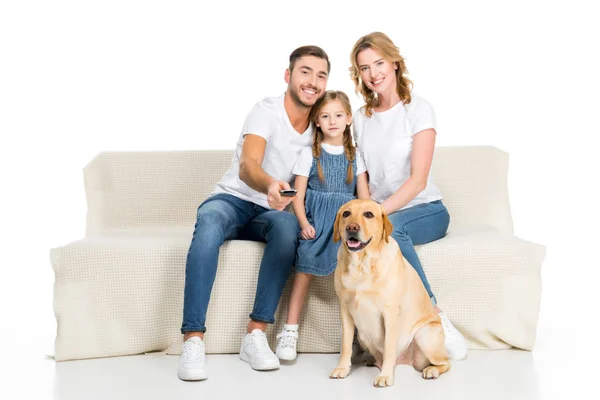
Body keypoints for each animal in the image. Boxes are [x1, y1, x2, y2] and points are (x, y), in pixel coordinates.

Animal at [328, 200, 450, 388]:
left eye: (369, 214)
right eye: (346, 213)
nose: (352, 228)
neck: (361, 266)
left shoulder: (390, 313)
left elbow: (389, 347)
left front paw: (385, 376)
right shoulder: (345, 312)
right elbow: (346, 345)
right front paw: (342, 368)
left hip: (424, 335)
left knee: (445, 362)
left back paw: (432, 370)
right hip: (362, 335)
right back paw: (371, 359)